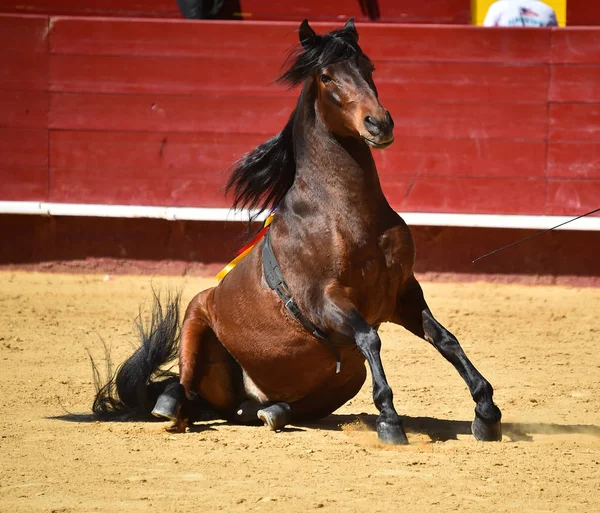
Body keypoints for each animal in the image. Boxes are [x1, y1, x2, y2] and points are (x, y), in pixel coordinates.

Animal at [92, 19, 502, 444]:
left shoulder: (402, 293)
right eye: (326, 76)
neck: (349, 212)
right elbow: (370, 337)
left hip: (348, 376)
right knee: (184, 390)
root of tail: (245, 397)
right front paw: (390, 420)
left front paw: (486, 411)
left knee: (265, 407)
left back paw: (271, 412)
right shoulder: (325, 300)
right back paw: (170, 407)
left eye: (369, 67)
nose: (379, 123)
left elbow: (445, 339)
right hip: (195, 317)